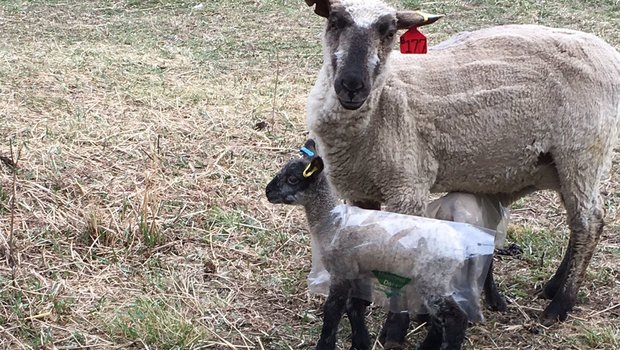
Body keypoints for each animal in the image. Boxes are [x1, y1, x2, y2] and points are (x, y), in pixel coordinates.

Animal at [264, 143, 496, 350]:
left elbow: (332, 311)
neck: (332, 221)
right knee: (441, 321)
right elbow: (353, 307)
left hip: (433, 278)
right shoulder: (358, 272)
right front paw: (361, 342)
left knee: (455, 319)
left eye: (292, 179)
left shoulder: (341, 271)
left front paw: (325, 345)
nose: (267, 192)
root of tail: (461, 246)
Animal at [302, 0, 620, 344]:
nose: (352, 85)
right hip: (560, 163)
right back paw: (552, 288)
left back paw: (559, 305)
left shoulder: (408, 184)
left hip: (583, 150)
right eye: (334, 22)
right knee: (578, 221)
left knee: (590, 221)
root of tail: (607, 52)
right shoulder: (359, 189)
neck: (384, 104)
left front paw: (395, 328)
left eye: (389, 32)